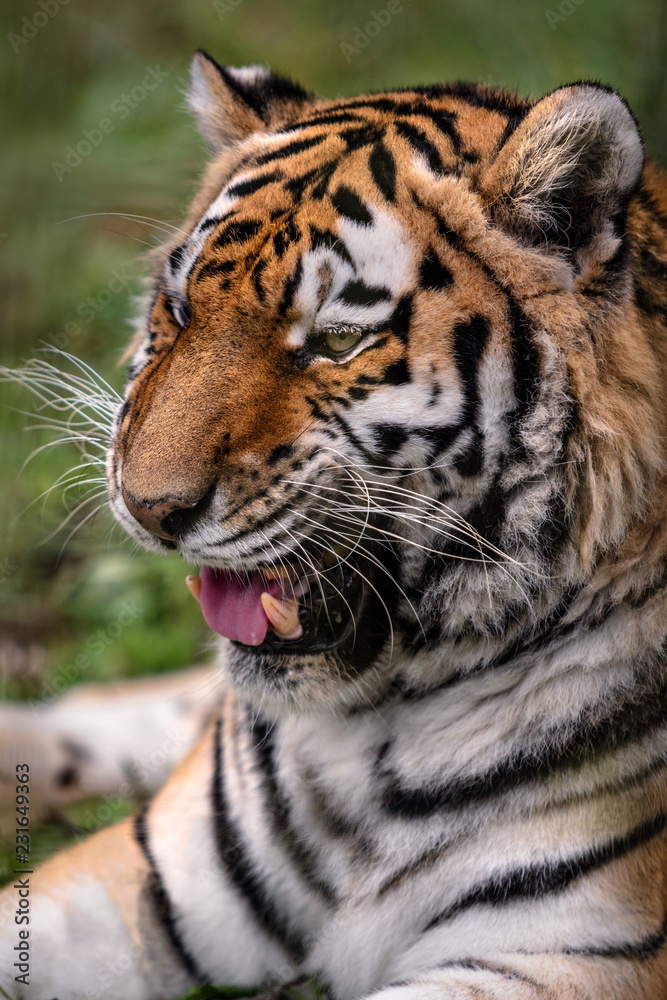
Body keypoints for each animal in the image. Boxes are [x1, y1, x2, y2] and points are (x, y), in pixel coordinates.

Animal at [1, 50, 667, 1000]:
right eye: (179, 309)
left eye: (336, 340)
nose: (148, 506)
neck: (369, 744)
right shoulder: (152, 879)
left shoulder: (569, 959)